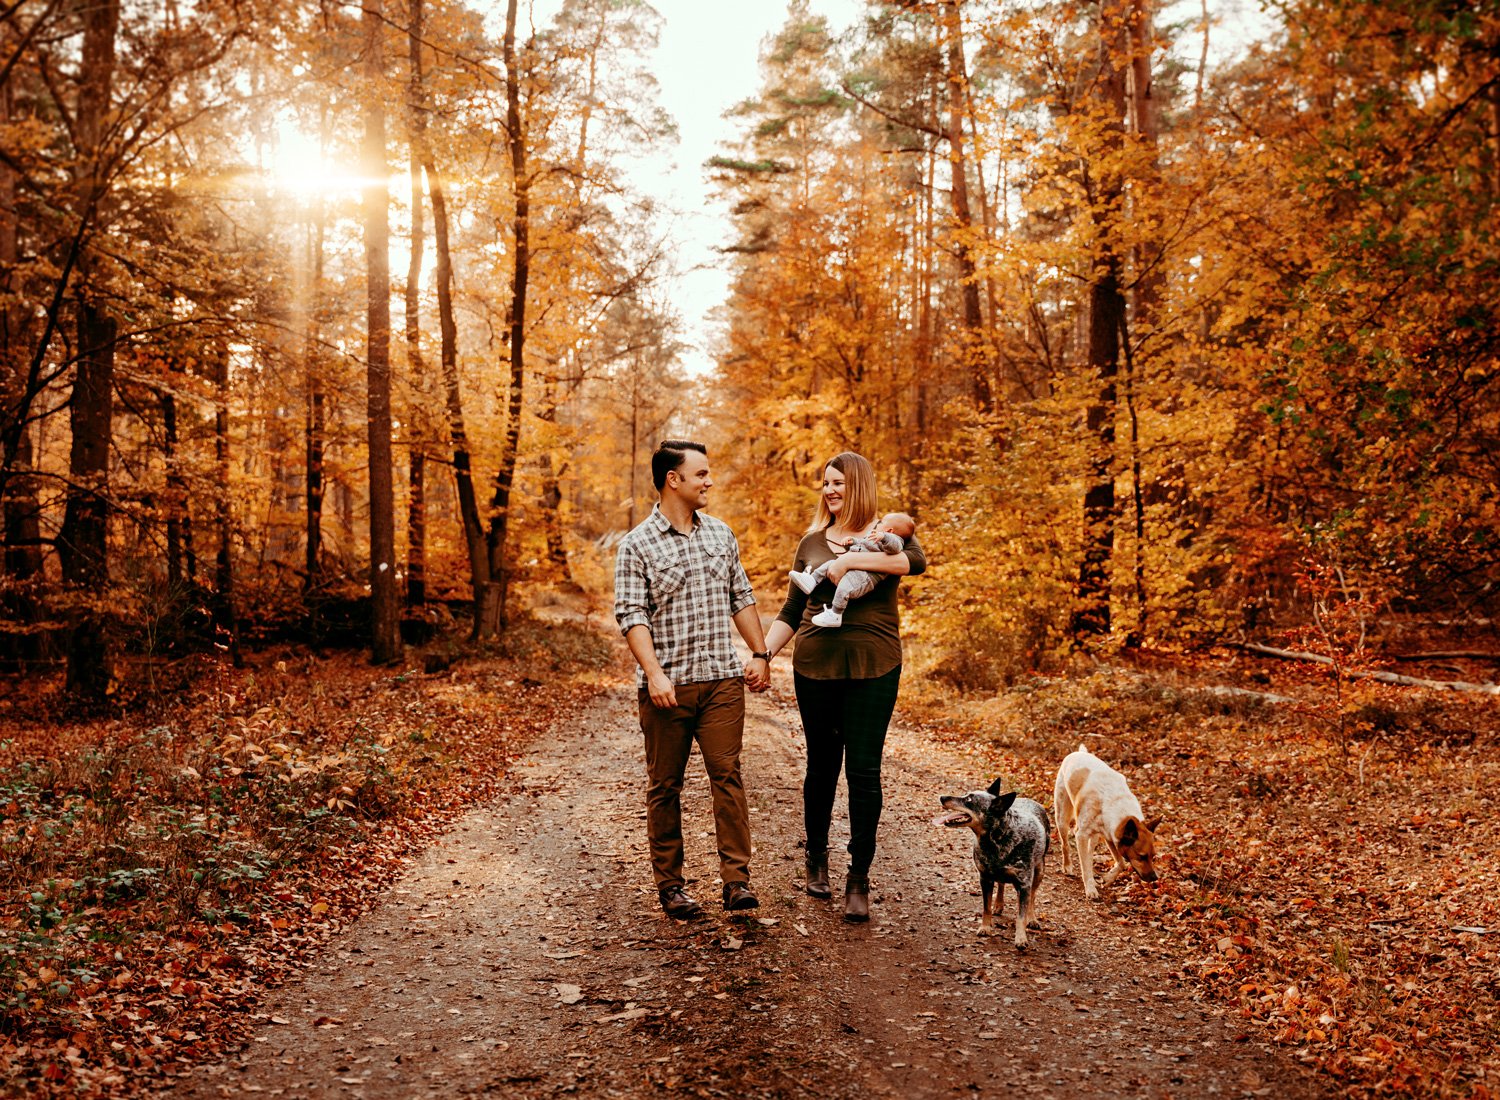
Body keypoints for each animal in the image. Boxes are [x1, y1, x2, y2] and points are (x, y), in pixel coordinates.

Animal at [930, 774, 1050, 948]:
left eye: (969, 800)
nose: (942, 797)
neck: (998, 839)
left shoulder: (1024, 883)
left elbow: (1021, 915)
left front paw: (1021, 938)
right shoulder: (985, 878)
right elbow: (986, 907)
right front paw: (985, 927)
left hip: (1039, 870)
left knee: (1032, 897)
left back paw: (1032, 918)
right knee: (1001, 884)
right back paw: (998, 905)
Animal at [1056, 741, 1158, 894]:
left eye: (1153, 856)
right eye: (1142, 856)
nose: (1155, 878)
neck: (1116, 804)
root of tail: (1079, 753)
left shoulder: (1110, 835)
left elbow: (1121, 863)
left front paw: (1108, 878)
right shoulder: (1082, 835)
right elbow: (1084, 865)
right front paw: (1090, 889)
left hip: (1094, 837)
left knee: (1089, 853)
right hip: (1062, 818)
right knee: (1065, 844)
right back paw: (1067, 867)